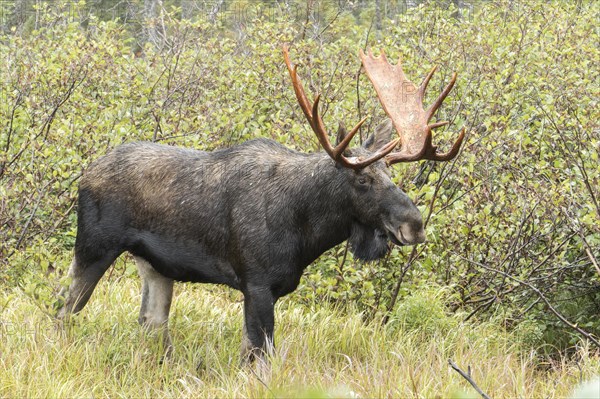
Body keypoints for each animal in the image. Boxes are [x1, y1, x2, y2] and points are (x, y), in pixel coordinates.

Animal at [56, 46, 466, 362]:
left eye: (391, 175)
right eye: (362, 179)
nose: (415, 224)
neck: (307, 230)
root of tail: (84, 174)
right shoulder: (256, 283)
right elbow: (258, 357)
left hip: (155, 266)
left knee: (151, 322)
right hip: (93, 247)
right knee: (64, 309)